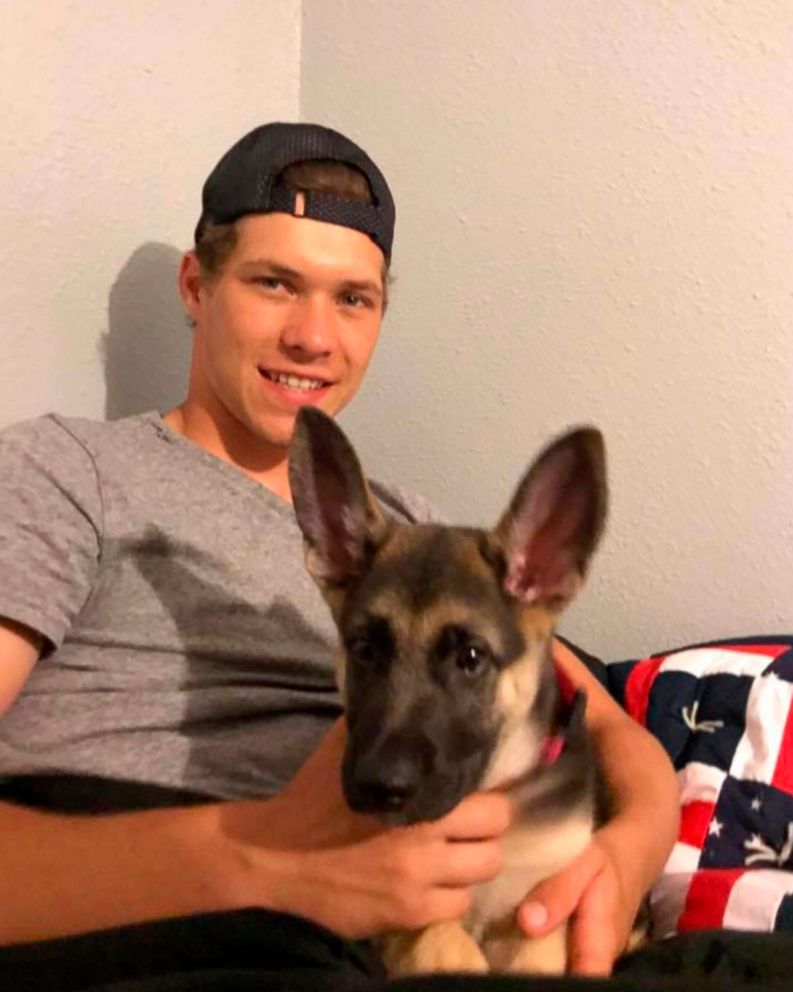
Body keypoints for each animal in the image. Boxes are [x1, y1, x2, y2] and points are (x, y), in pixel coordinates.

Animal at [288, 406, 604, 972]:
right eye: (364, 648)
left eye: (470, 659)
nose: (378, 787)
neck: (500, 788)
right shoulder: (406, 911)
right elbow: (446, 944)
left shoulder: (543, 910)